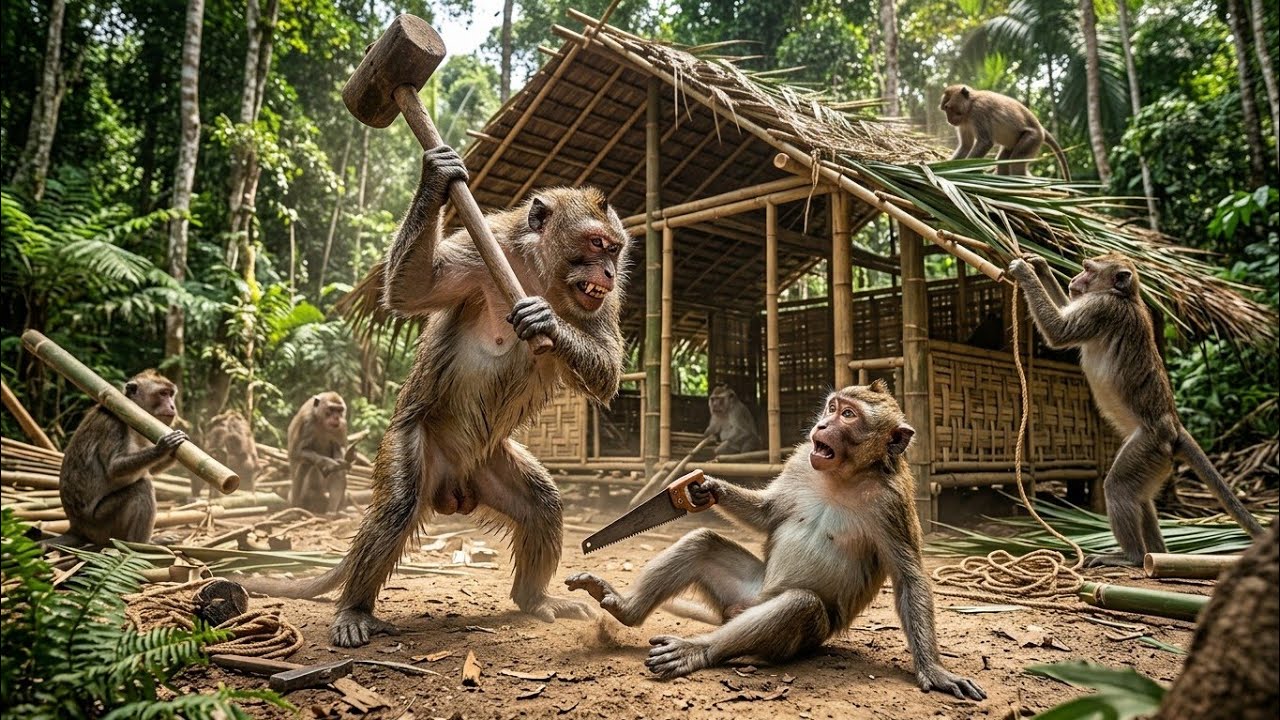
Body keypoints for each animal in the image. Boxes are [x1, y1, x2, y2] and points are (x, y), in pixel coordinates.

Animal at [47, 370, 188, 547]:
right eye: (162, 393)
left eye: (170, 394)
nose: (172, 406)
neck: (133, 416)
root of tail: (76, 527)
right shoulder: (114, 422)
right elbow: (114, 468)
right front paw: (163, 448)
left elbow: (151, 469)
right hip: (101, 524)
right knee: (142, 487)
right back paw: (143, 544)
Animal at [239, 145, 629, 647]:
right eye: (597, 244)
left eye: (615, 249)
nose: (609, 271)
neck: (536, 272)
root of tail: (452, 488)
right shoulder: (484, 246)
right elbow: (413, 289)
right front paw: (436, 178)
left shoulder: (601, 300)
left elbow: (606, 373)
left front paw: (546, 322)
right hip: (414, 443)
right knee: (398, 506)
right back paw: (354, 608)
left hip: (487, 463)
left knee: (543, 505)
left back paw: (534, 599)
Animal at [566, 382, 986, 700]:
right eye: (833, 407)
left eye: (849, 416)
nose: (822, 424)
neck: (844, 476)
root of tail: (742, 608)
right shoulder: (801, 460)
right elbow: (768, 514)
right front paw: (703, 489)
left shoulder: (892, 502)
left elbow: (908, 576)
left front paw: (934, 669)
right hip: (744, 590)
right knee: (702, 542)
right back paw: (626, 608)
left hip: (807, 636)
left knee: (799, 604)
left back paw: (699, 649)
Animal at [939, 85, 1071, 180]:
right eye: (945, 109)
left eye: (947, 107)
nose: (948, 119)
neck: (970, 104)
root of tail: (1040, 128)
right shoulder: (963, 123)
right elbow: (966, 146)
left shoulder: (979, 111)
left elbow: (985, 142)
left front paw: (965, 170)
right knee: (1004, 161)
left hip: (1033, 138)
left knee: (1016, 163)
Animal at [1007, 253, 1265, 566]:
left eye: (1088, 270)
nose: (1075, 280)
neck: (1125, 296)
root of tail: (1173, 425)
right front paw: (1041, 266)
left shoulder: (1102, 308)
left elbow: (1059, 331)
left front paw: (1025, 271)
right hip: (1157, 460)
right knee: (1141, 498)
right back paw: (1157, 554)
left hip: (1149, 446)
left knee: (1118, 487)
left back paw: (1130, 556)